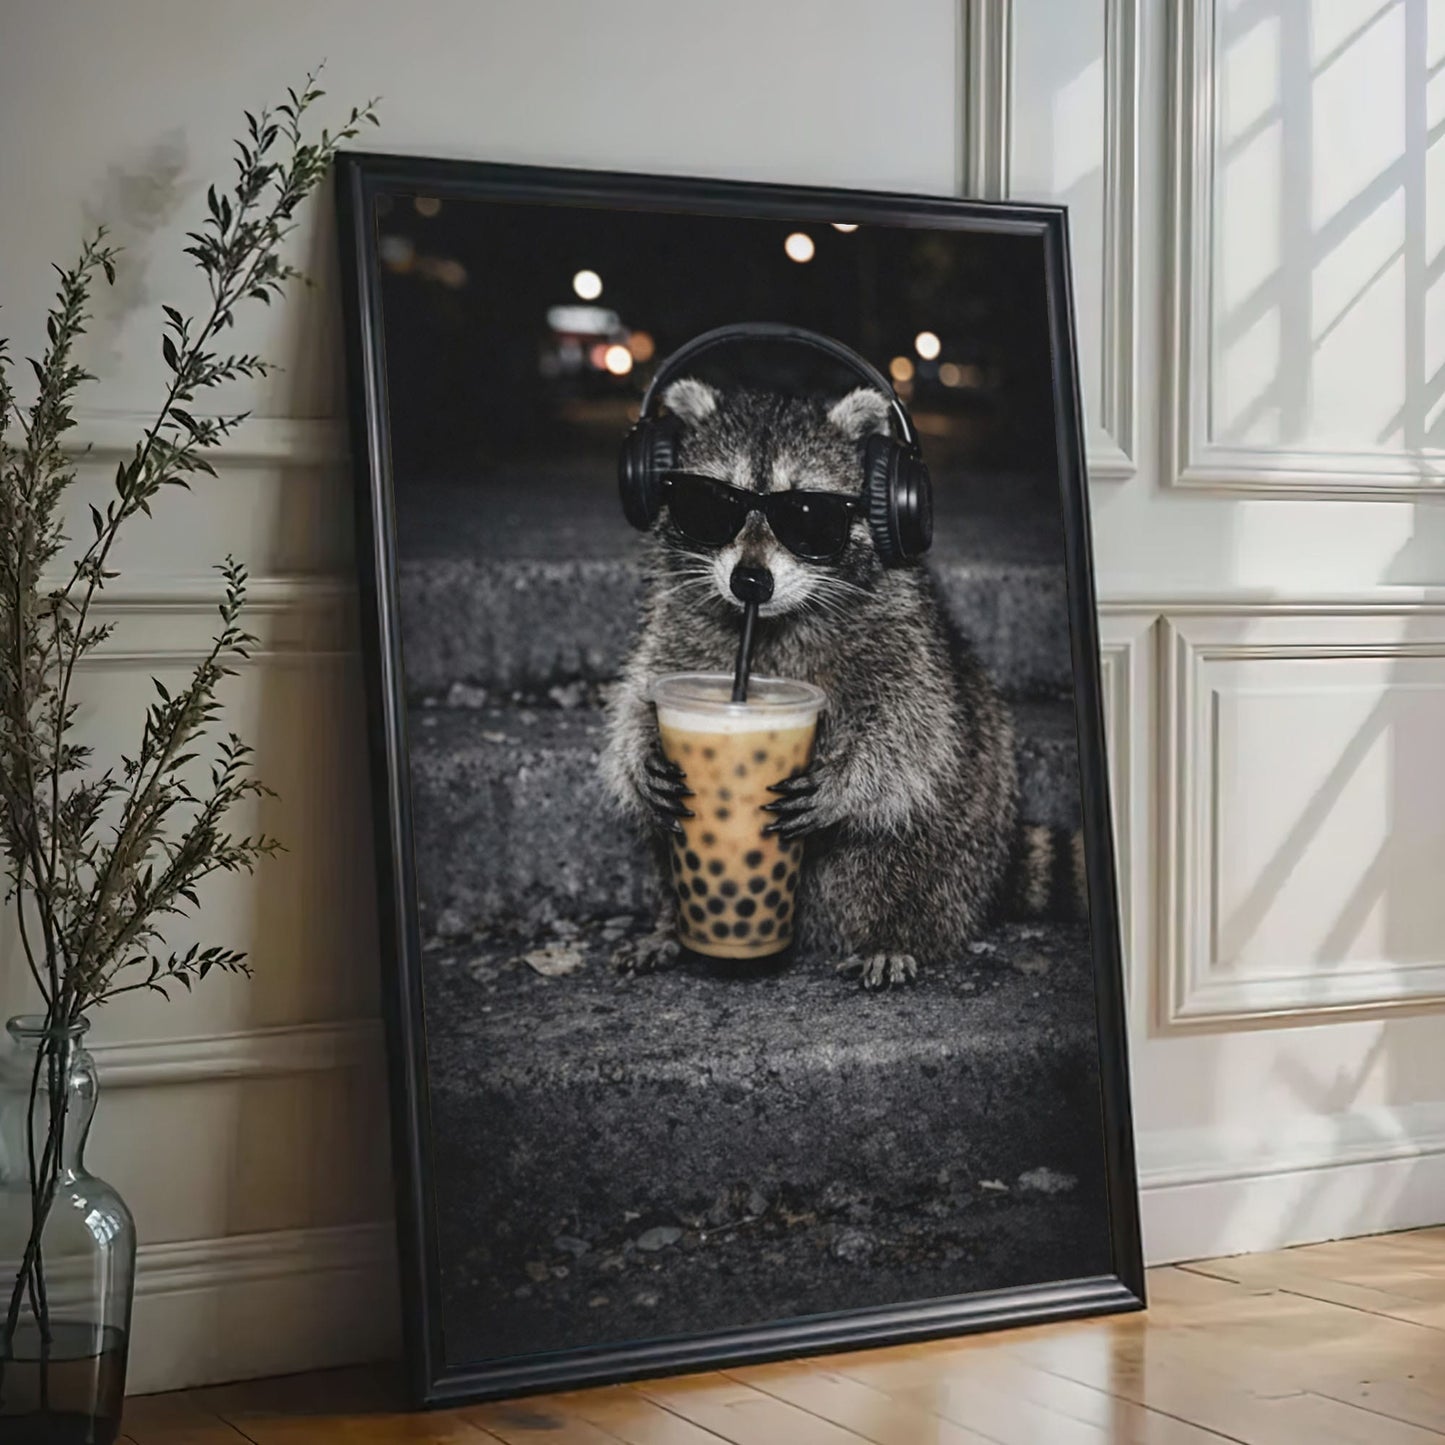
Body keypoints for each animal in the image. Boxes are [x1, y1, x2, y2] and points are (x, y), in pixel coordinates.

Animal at [600, 378, 1080, 988]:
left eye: (808, 514)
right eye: (712, 504)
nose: (750, 580)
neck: (773, 620)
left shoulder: (903, 631)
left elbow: (916, 726)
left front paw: (848, 778)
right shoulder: (675, 622)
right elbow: (638, 694)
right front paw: (641, 755)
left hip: (964, 829)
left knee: (907, 846)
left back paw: (895, 933)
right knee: (663, 845)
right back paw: (669, 925)